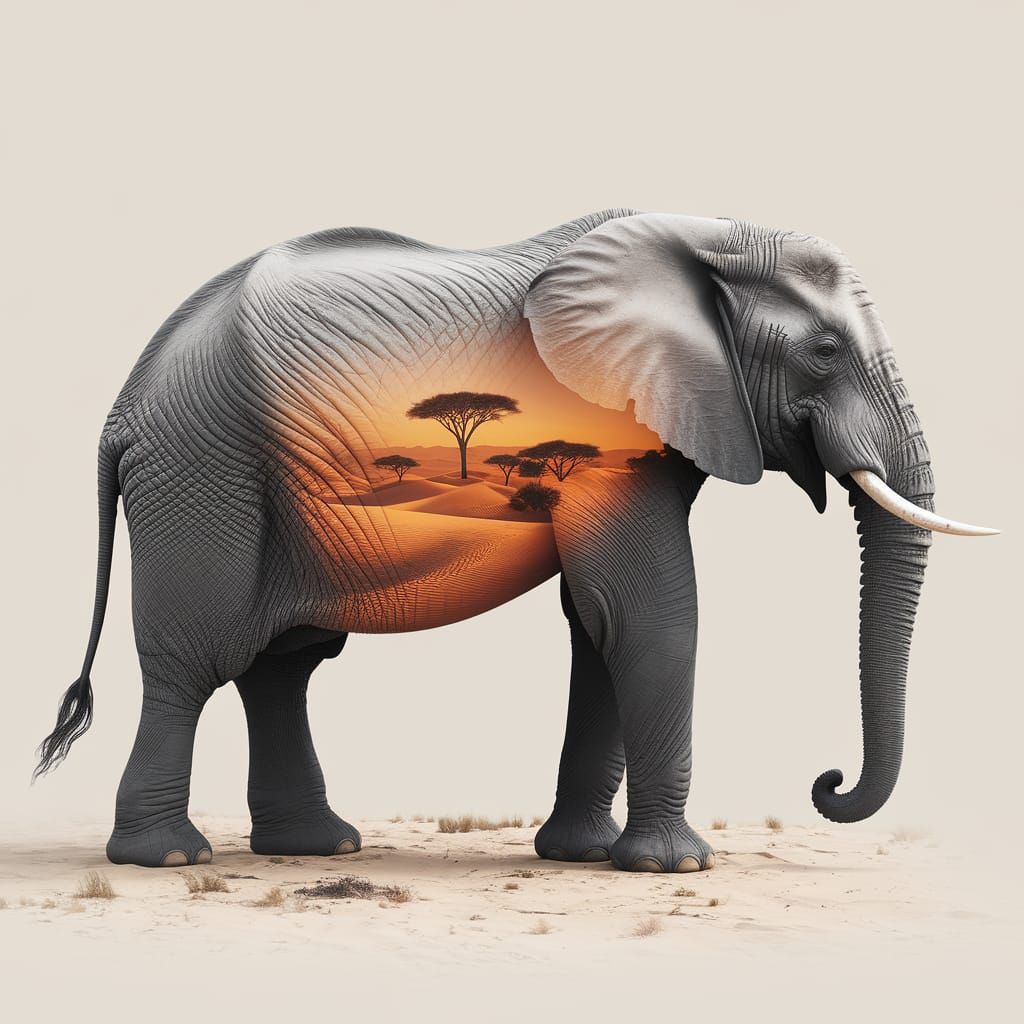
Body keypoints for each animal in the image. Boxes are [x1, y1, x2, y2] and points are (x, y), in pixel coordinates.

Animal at [36, 209, 996, 871]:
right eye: (826, 352)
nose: (827, 783)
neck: (705, 234)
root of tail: (123, 410)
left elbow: (599, 624)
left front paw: (585, 856)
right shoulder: (614, 429)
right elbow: (650, 615)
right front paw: (675, 866)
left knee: (284, 664)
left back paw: (318, 848)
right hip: (206, 471)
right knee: (197, 659)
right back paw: (169, 857)